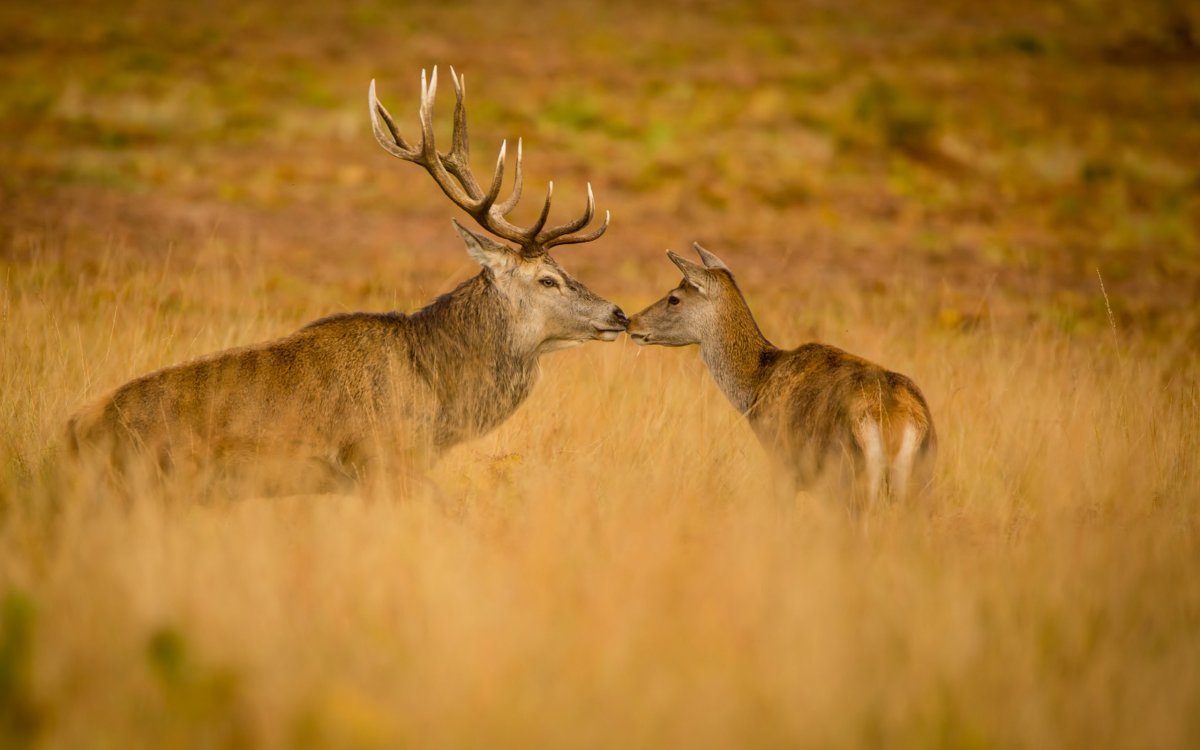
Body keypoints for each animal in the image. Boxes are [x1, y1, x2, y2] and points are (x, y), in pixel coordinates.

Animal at [626, 244, 936, 508]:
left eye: (674, 298)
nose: (631, 321)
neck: (757, 385)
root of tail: (896, 423)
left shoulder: (781, 463)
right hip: (921, 482)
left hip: (846, 478)